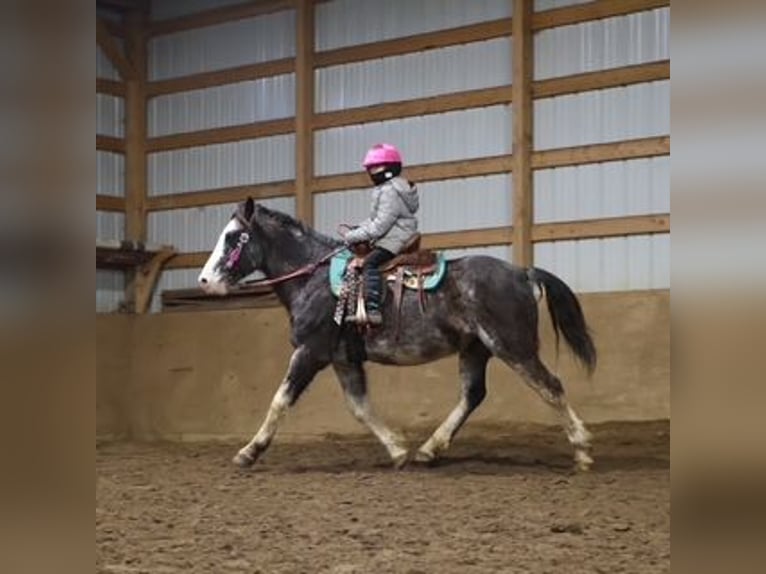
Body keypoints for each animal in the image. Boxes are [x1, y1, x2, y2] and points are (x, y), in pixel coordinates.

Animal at [198, 198, 597, 471]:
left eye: (233, 237)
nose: (204, 280)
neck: (314, 279)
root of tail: (522, 273)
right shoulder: (343, 360)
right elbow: (359, 407)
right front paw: (398, 449)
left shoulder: (310, 352)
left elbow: (280, 400)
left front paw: (249, 452)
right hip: (475, 349)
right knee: (472, 395)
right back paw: (429, 449)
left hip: (513, 346)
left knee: (550, 386)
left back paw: (582, 451)